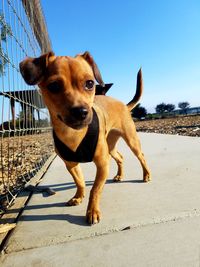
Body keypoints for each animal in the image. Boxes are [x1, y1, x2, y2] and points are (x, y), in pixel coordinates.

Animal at [19, 51, 151, 224]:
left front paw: (92, 211)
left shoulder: (102, 164)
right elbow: (80, 182)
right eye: (54, 86)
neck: (73, 134)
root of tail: (123, 104)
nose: (80, 111)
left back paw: (146, 175)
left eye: (89, 83)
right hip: (110, 148)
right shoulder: (71, 165)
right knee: (120, 157)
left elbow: (95, 189)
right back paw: (119, 175)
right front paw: (78, 197)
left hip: (131, 141)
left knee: (141, 156)